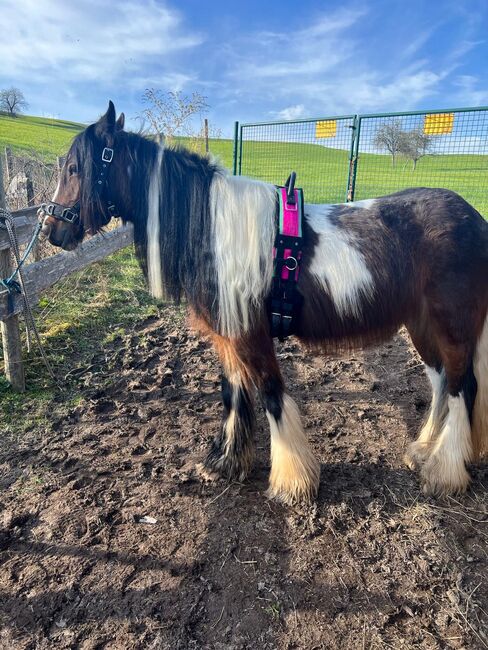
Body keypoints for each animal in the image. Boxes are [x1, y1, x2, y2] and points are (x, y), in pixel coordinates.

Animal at [39, 102, 488, 506]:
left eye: (75, 168)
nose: (51, 230)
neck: (212, 228)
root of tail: (475, 219)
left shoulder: (252, 333)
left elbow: (271, 393)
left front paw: (293, 482)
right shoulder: (227, 333)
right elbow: (233, 392)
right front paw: (225, 462)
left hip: (453, 327)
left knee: (462, 386)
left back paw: (443, 472)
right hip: (422, 325)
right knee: (441, 382)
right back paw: (423, 451)